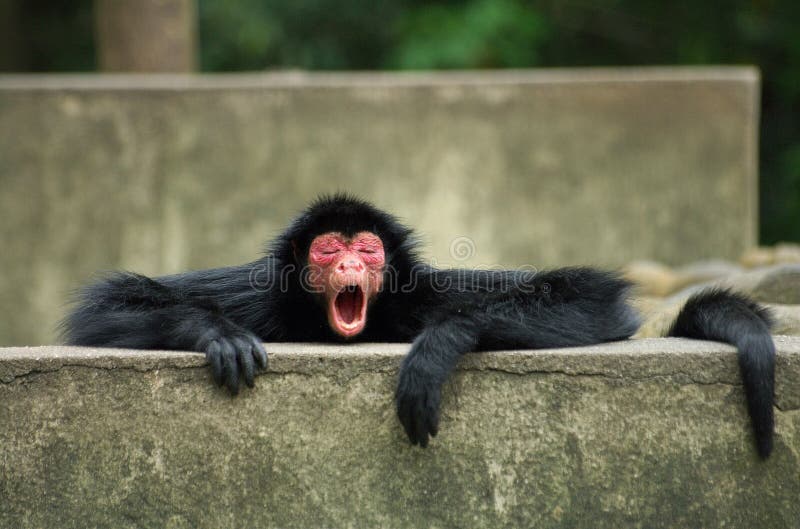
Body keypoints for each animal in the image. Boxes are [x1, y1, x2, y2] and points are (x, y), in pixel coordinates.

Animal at [62, 194, 776, 458]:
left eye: (367, 249)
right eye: (329, 249)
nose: (351, 262)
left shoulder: (425, 292)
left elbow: (592, 298)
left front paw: (438, 347)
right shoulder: (257, 293)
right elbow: (102, 306)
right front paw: (218, 334)